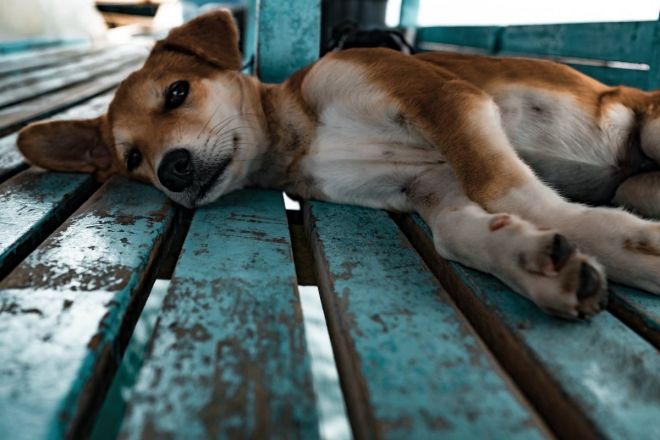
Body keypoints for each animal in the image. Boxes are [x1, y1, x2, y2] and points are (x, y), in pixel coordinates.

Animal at [16, 10, 660, 320]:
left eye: (177, 93)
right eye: (133, 158)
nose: (171, 169)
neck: (302, 136)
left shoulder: (444, 99)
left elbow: (505, 187)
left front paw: (609, 239)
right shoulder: (426, 184)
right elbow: (460, 234)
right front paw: (533, 262)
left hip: (650, 126)